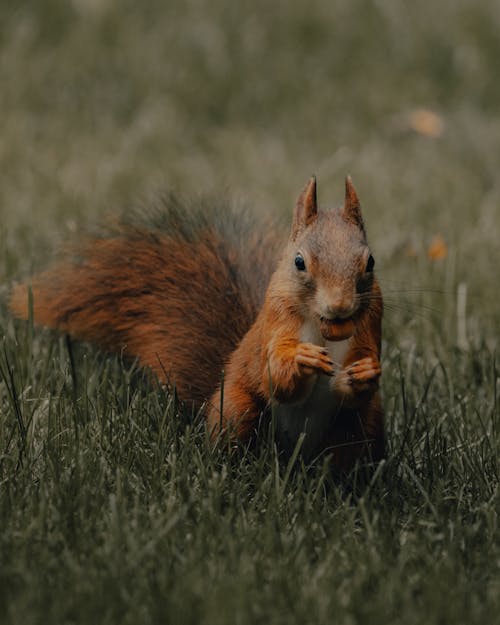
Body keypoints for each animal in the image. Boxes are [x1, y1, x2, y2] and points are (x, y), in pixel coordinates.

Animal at [9, 178, 384, 470]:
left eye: (370, 262)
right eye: (299, 262)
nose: (339, 307)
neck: (324, 331)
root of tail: (293, 452)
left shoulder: (370, 324)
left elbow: (356, 382)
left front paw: (364, 372)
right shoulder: (275, 323)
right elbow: (276, 379)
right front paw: (301, 359)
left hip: (360, 426)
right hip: (237, 407)